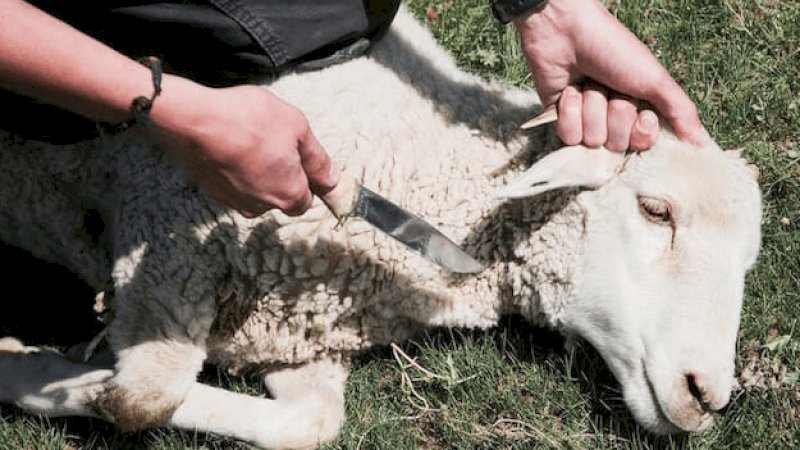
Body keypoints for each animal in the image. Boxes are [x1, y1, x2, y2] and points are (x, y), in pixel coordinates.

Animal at [0, 4, 764, 450]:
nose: (709, 395)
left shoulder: (299, 332)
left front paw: (35, 368)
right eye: (655, 210)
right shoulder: (164, 240)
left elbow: (306, 426)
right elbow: (140, 397)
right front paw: (32, 369)